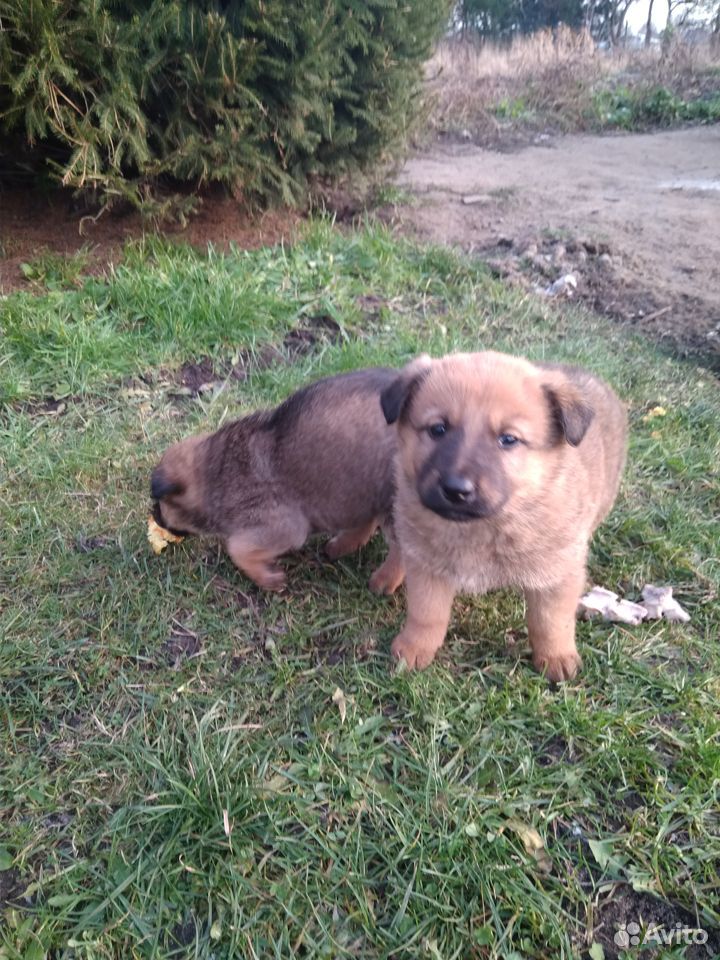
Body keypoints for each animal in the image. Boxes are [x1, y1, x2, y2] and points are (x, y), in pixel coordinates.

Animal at [150, 370, 404, 588]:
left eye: (159, 504)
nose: (154, 516)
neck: (216, 475)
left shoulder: (284, 527)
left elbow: (238, 548)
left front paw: (268, 578)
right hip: (363, 489)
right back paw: (340, 547)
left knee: (401, 549)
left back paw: (383, 582)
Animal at [382, 352, 624, 684]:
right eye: (438, 429)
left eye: (508, 439)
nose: (456, 489)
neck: (484, 526)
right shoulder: (428, 566)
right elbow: (427, 613)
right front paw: (414, 647)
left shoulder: (558, 573)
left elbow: (551, 622)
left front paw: (556, 657)